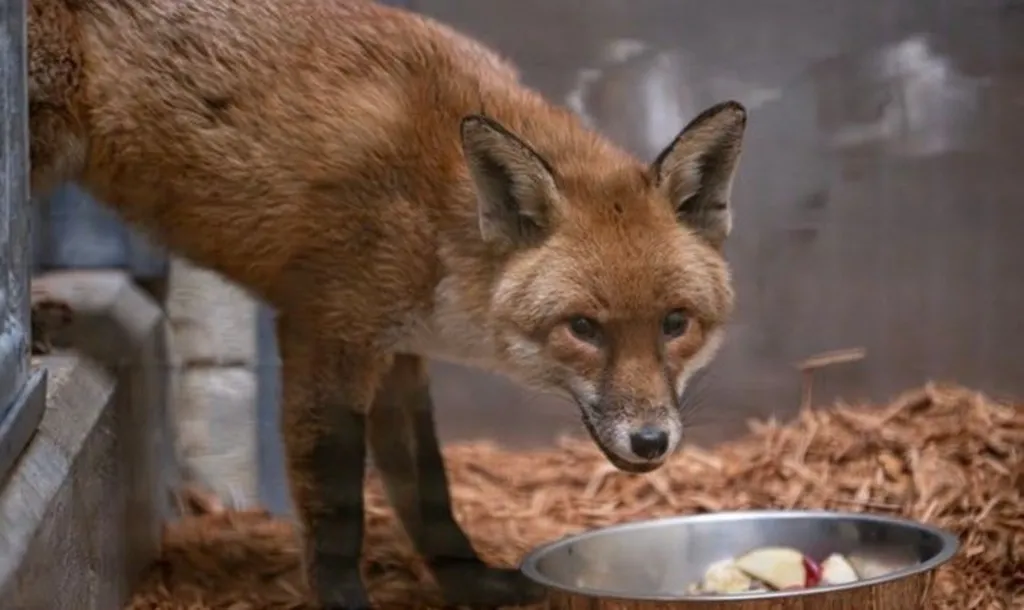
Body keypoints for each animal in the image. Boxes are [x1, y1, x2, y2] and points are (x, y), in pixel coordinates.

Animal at [27, 0, 747, 607]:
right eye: (584, 328)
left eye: (675, 324)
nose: (652, 441)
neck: (435, 216)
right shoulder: (326, 333)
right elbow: (338, 506)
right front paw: (345, 599)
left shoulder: (399, 353)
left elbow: (428, 491)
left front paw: (472, 582)